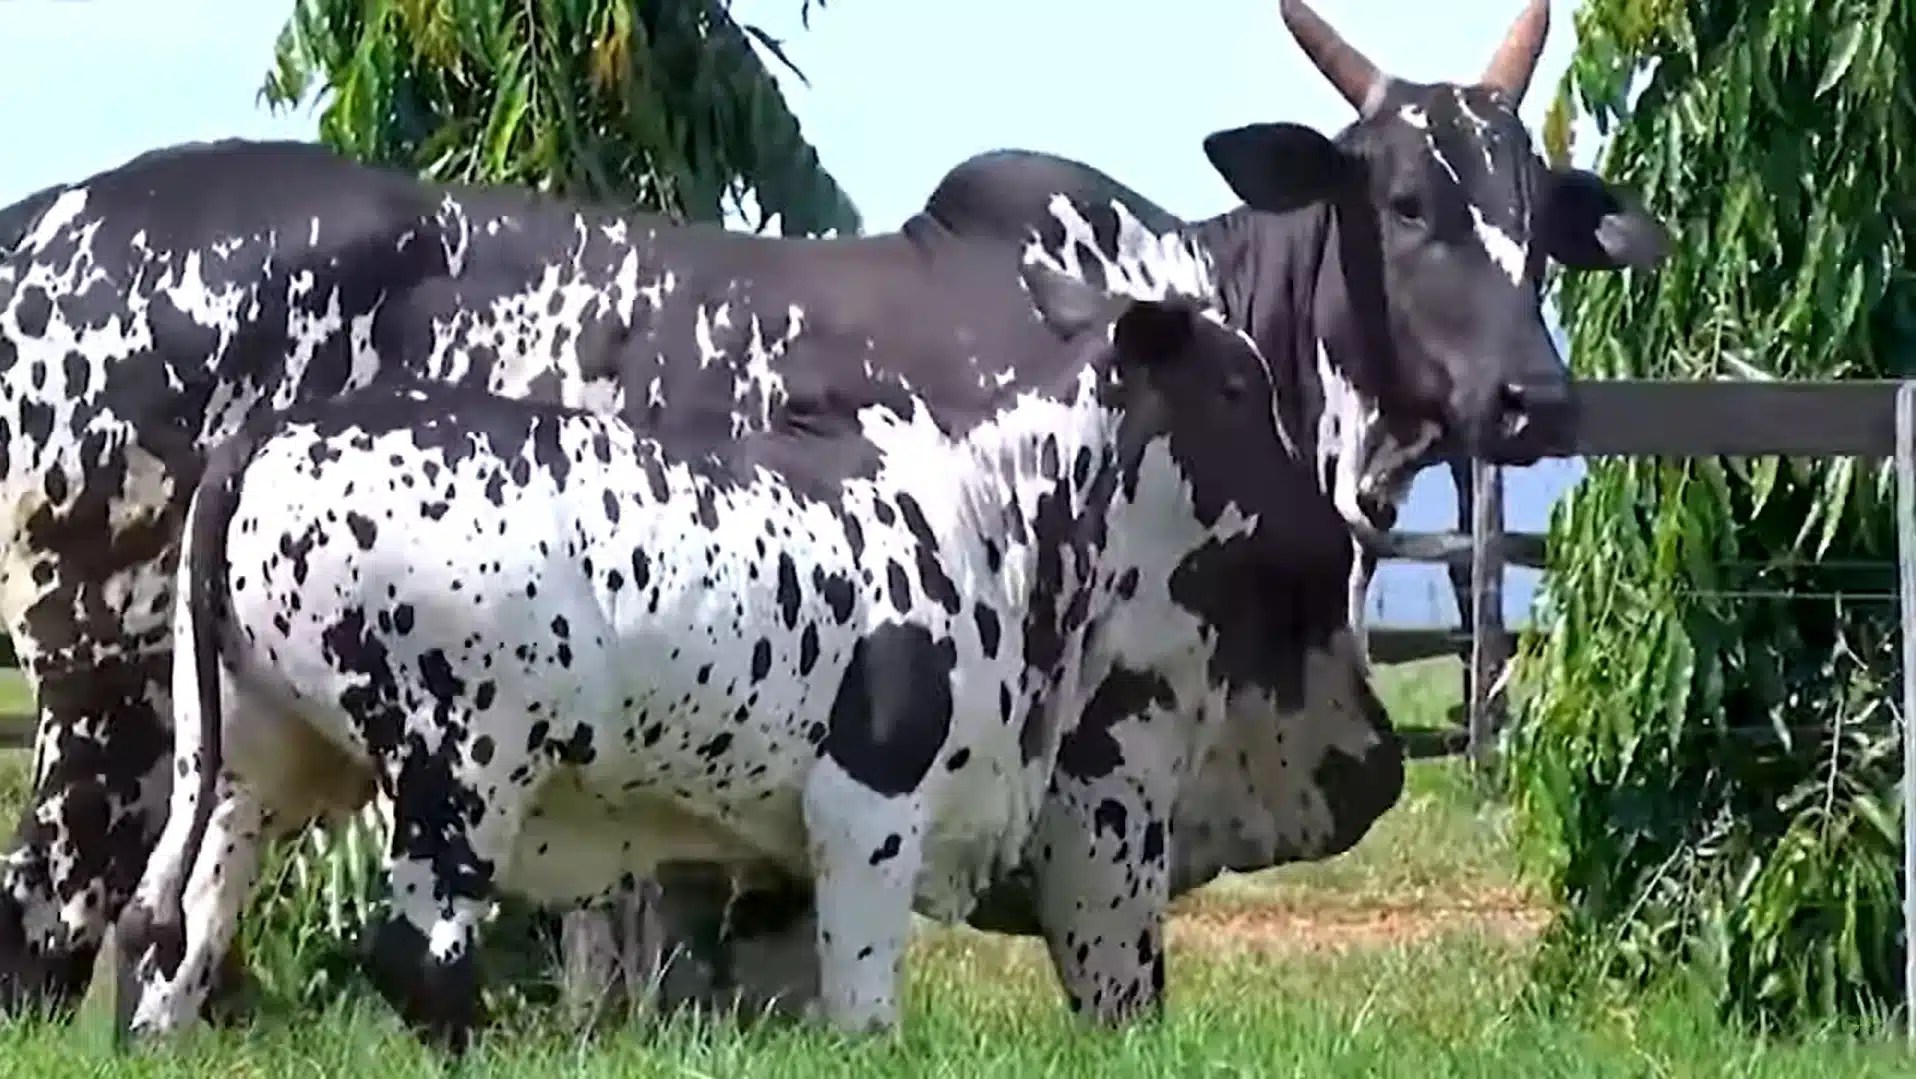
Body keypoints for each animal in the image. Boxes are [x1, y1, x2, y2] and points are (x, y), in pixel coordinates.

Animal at [112, 262, 1318, 1051]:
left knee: (182, 932)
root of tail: (269, 433)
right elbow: (865, 1010)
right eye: (1235, 390)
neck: (993, 515)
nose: (1326, 530)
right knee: (417, 953)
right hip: (461, 768)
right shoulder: (868, 807)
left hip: (250, 761)